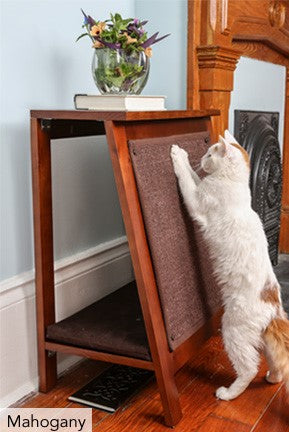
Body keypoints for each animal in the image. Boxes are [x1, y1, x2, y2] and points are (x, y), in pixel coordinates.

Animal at [170, 130, 286, 400]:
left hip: (233, 331)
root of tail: (273, 308)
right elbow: (194, 177)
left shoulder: (197, 201)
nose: (202, 158)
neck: (235, 186)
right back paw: (271, 378)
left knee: (248, 369)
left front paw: (179, 155)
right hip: (262, 341)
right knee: (277, 364)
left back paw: (227, 393)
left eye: (210, 154)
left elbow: (187, 179)